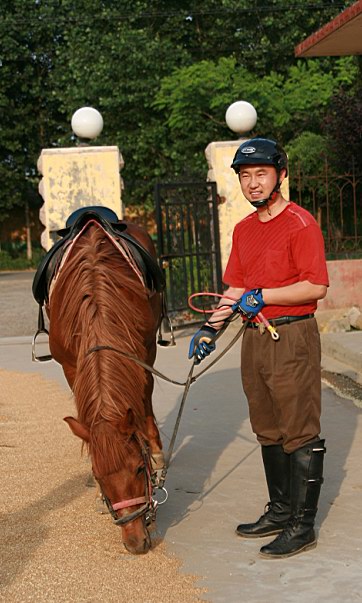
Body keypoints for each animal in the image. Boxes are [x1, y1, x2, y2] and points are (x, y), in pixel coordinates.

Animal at [43, 209, 165, 556]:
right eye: (99, 476)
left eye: (139, 468)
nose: (135, 542)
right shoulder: (71, 364)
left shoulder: (143, 354)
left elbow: (143, 402)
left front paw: (155, 453)